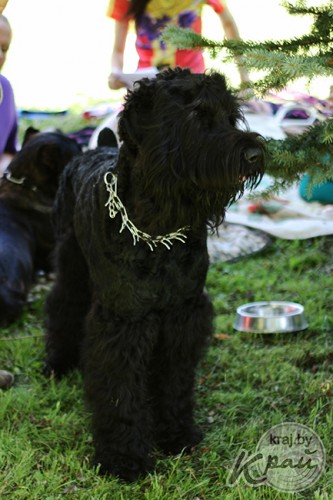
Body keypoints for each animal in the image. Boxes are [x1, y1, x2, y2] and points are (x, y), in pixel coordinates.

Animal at [44, 68, 264, 482]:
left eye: (231, 117)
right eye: (195, 115)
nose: (255, 153)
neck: (157, 230)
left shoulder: (183, 313)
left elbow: (174, 382)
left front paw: (176, 434)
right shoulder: (122, 320)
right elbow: (119, 392)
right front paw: (124, 458)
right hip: (71, 264)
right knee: (62, 306)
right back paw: (58, 364)